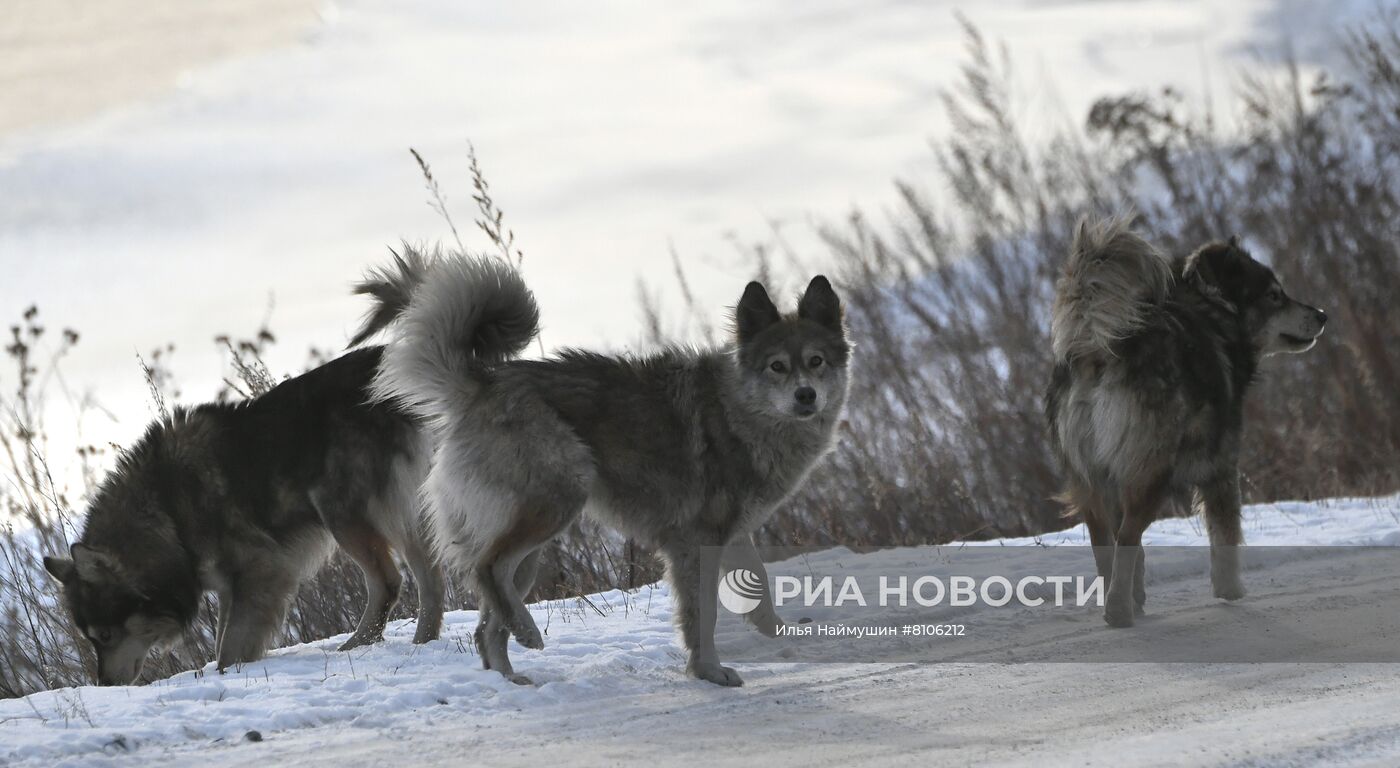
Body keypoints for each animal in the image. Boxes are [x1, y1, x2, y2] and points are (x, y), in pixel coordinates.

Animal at [46, 346, 442, 682]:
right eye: (92, 638)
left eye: (105, 635)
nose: (104, 684)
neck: (167, 512)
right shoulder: (229, 586)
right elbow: (225, 638)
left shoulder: (262, 569)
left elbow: (228, 650)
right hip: (401, 515)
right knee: (429, 576)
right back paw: (423, 642)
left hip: (342, 515)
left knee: (389, 582)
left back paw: (356, 646)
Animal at [352, 249, 851, 685]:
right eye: (777, 367)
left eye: (816, 362)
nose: (806, 396)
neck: (738, 413)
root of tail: (483, 384)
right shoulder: (695, 542)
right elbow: (703, 615)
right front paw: (708, 671)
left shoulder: (730, 536)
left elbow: (760, 588)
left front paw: (781, 636)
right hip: (559, 499)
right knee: (487, 568)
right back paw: (529, 635)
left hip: (527, 548)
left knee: (486, 622)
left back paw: (513, 678)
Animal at [1047, 214, 1327, 623]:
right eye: (1275, 295)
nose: (1323, 315)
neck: (1211, 316)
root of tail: (1099, 350)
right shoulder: (1222, 464)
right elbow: (1225, 533)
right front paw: (1230, 589)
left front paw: (1139, 593)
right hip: (1151, 472)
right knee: (1127, 535)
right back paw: (1119, 611)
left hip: (1091, 478)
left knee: (1104, 544)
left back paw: (1119, 600)